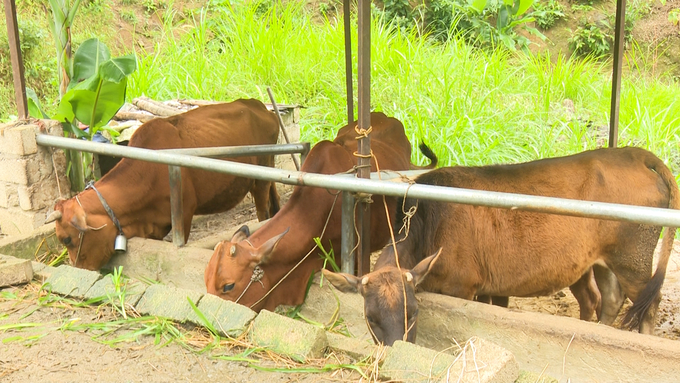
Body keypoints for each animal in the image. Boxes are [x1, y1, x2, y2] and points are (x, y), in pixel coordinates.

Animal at [45, 100, 280, 272]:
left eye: (67, 239)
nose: (78, 268)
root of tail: (259, 106)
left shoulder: (183, 214)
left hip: (260, 180)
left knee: (263, 214)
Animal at [326, 148, 676, 346]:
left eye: (413, 313)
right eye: (370, 318)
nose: (396, 349)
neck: (427, 222)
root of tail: (638, 154)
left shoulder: (461, 286)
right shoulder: (484, 285)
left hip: (633, 256)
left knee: (649, 304)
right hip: (604, 259)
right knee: (611, 299)